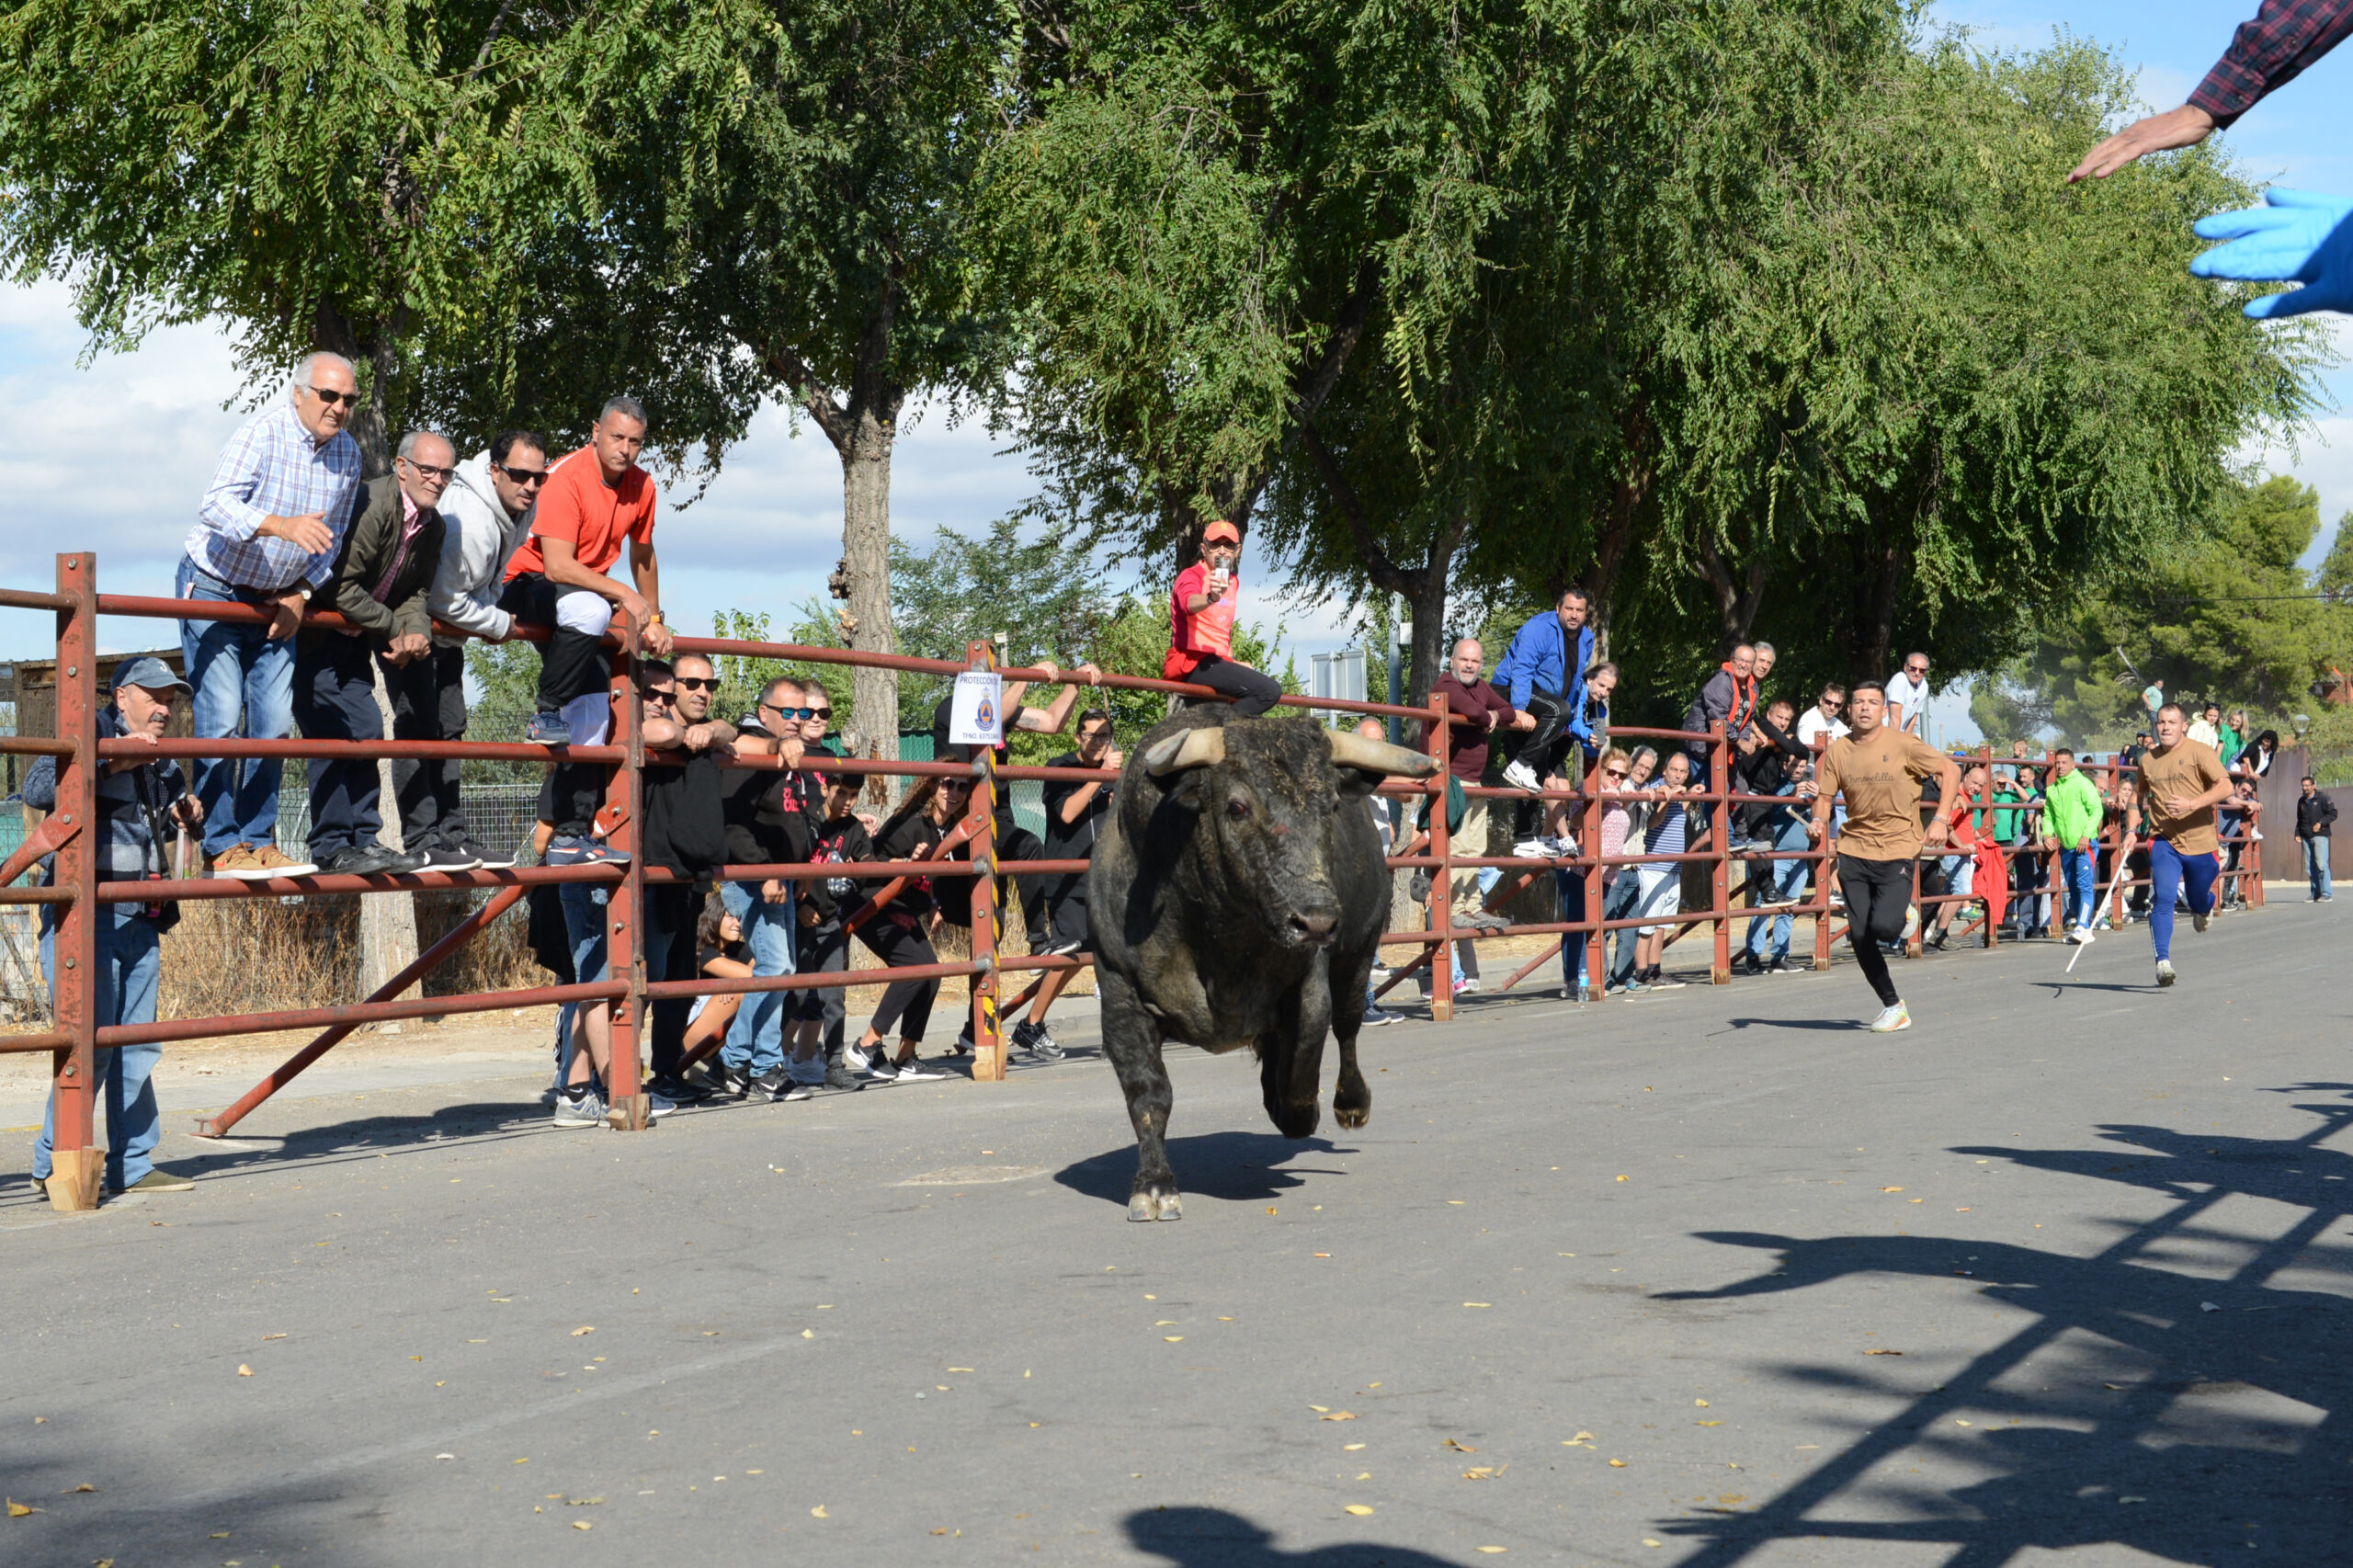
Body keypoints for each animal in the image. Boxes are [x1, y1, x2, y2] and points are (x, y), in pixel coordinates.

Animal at [1087, 708, 1440, 1221]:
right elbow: (1148, 1093)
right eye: (1237, 807)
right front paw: (1153, 1186)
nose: (1316, 920)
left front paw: (1297, 1112)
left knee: (1347, 1028)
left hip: (1357, 955)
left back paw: (1349, 1103)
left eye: (1332, 805)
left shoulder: (1311, 984)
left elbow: (1304, 1062)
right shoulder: (1120, 992)